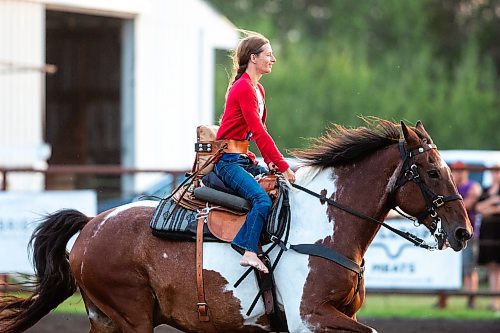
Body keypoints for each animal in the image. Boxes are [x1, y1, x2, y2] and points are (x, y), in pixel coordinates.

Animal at [0, 120, 472, 332]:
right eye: (432, 172)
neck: (327, 223)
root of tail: (92, 225)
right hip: (132, 318)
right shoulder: (308, 317)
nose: (463, 232)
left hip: (106, 319)